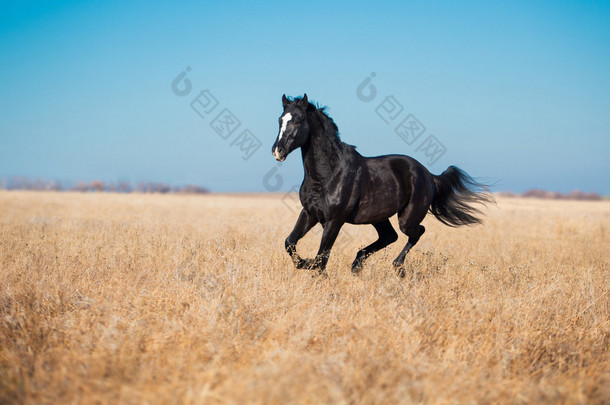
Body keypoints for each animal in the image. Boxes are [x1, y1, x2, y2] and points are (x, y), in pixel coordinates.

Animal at [270, 93, 490, 276]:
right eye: (280, 120)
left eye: (297, 120)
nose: (277, 151)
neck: (327, 175)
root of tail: (428, 175)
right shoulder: (310, 213)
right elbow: (290, 242)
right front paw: (304, 263)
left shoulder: (334, 221)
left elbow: (322, 257)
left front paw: (314, 271)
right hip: (379, 216)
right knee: (389, 237)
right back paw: (357, 264)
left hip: (407, 219)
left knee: (417, 232)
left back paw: (397, 266)